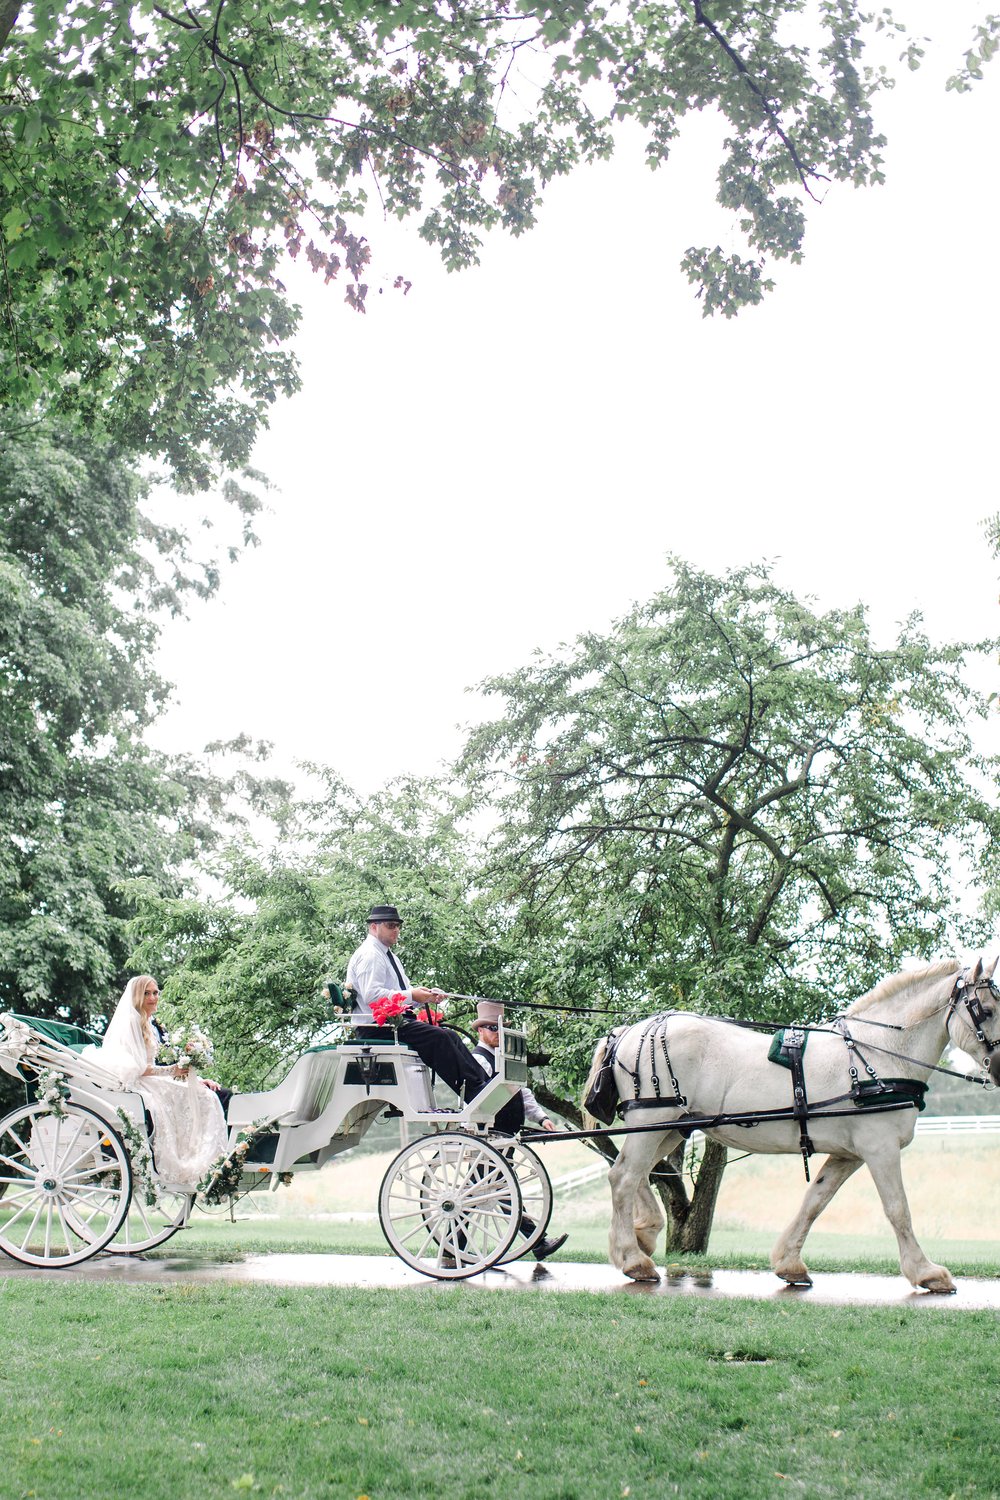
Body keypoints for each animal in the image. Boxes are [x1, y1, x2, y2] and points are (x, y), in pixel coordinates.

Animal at [587, 960, 1000, 1290]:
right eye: (987, 1009)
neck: (876, 1054)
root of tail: (629, 1031)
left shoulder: (849, 1154)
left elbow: (815, 1201)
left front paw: (790, 1264)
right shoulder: (879, 1147)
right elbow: (898, 1208)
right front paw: (927, 1272)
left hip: (671, 1125)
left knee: (633, 1172)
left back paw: (644, 1234)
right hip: (653, 1119)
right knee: (624, 1176)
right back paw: (633, 1260)